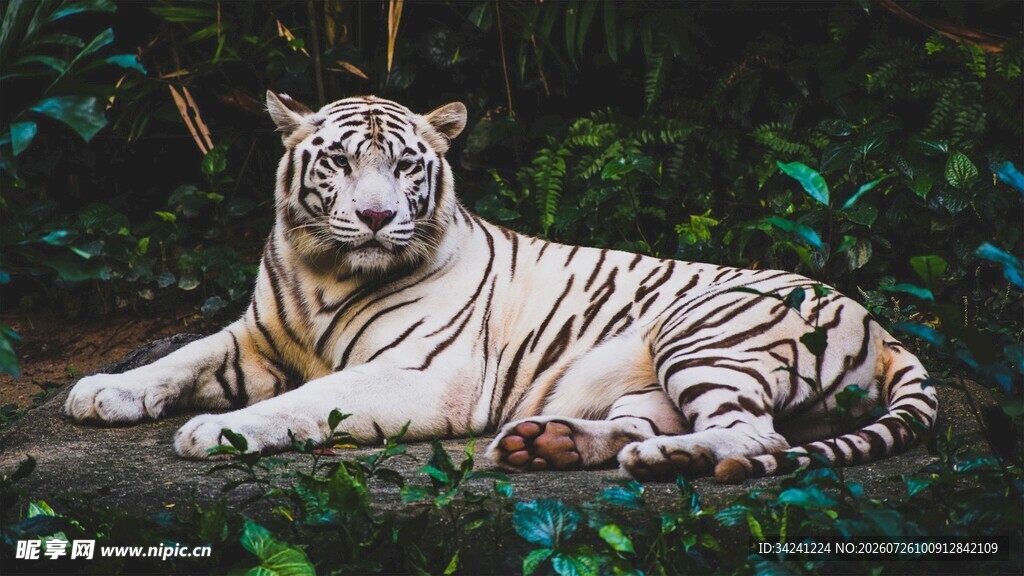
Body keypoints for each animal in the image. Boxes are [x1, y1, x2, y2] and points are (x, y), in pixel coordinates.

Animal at [64, 92, 937, 483]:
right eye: (340, 162)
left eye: (405, 166)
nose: (377, 217)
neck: (325, 271)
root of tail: (885, 329)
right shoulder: (255, 336)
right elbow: (181, 356)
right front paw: (102, 391)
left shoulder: (423, 375)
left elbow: (306, 401)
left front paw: (217, 432)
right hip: (649, 377)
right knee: (651, 422)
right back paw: (547, 442)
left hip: (703, 332)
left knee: (758, 437)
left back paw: (667, 459)